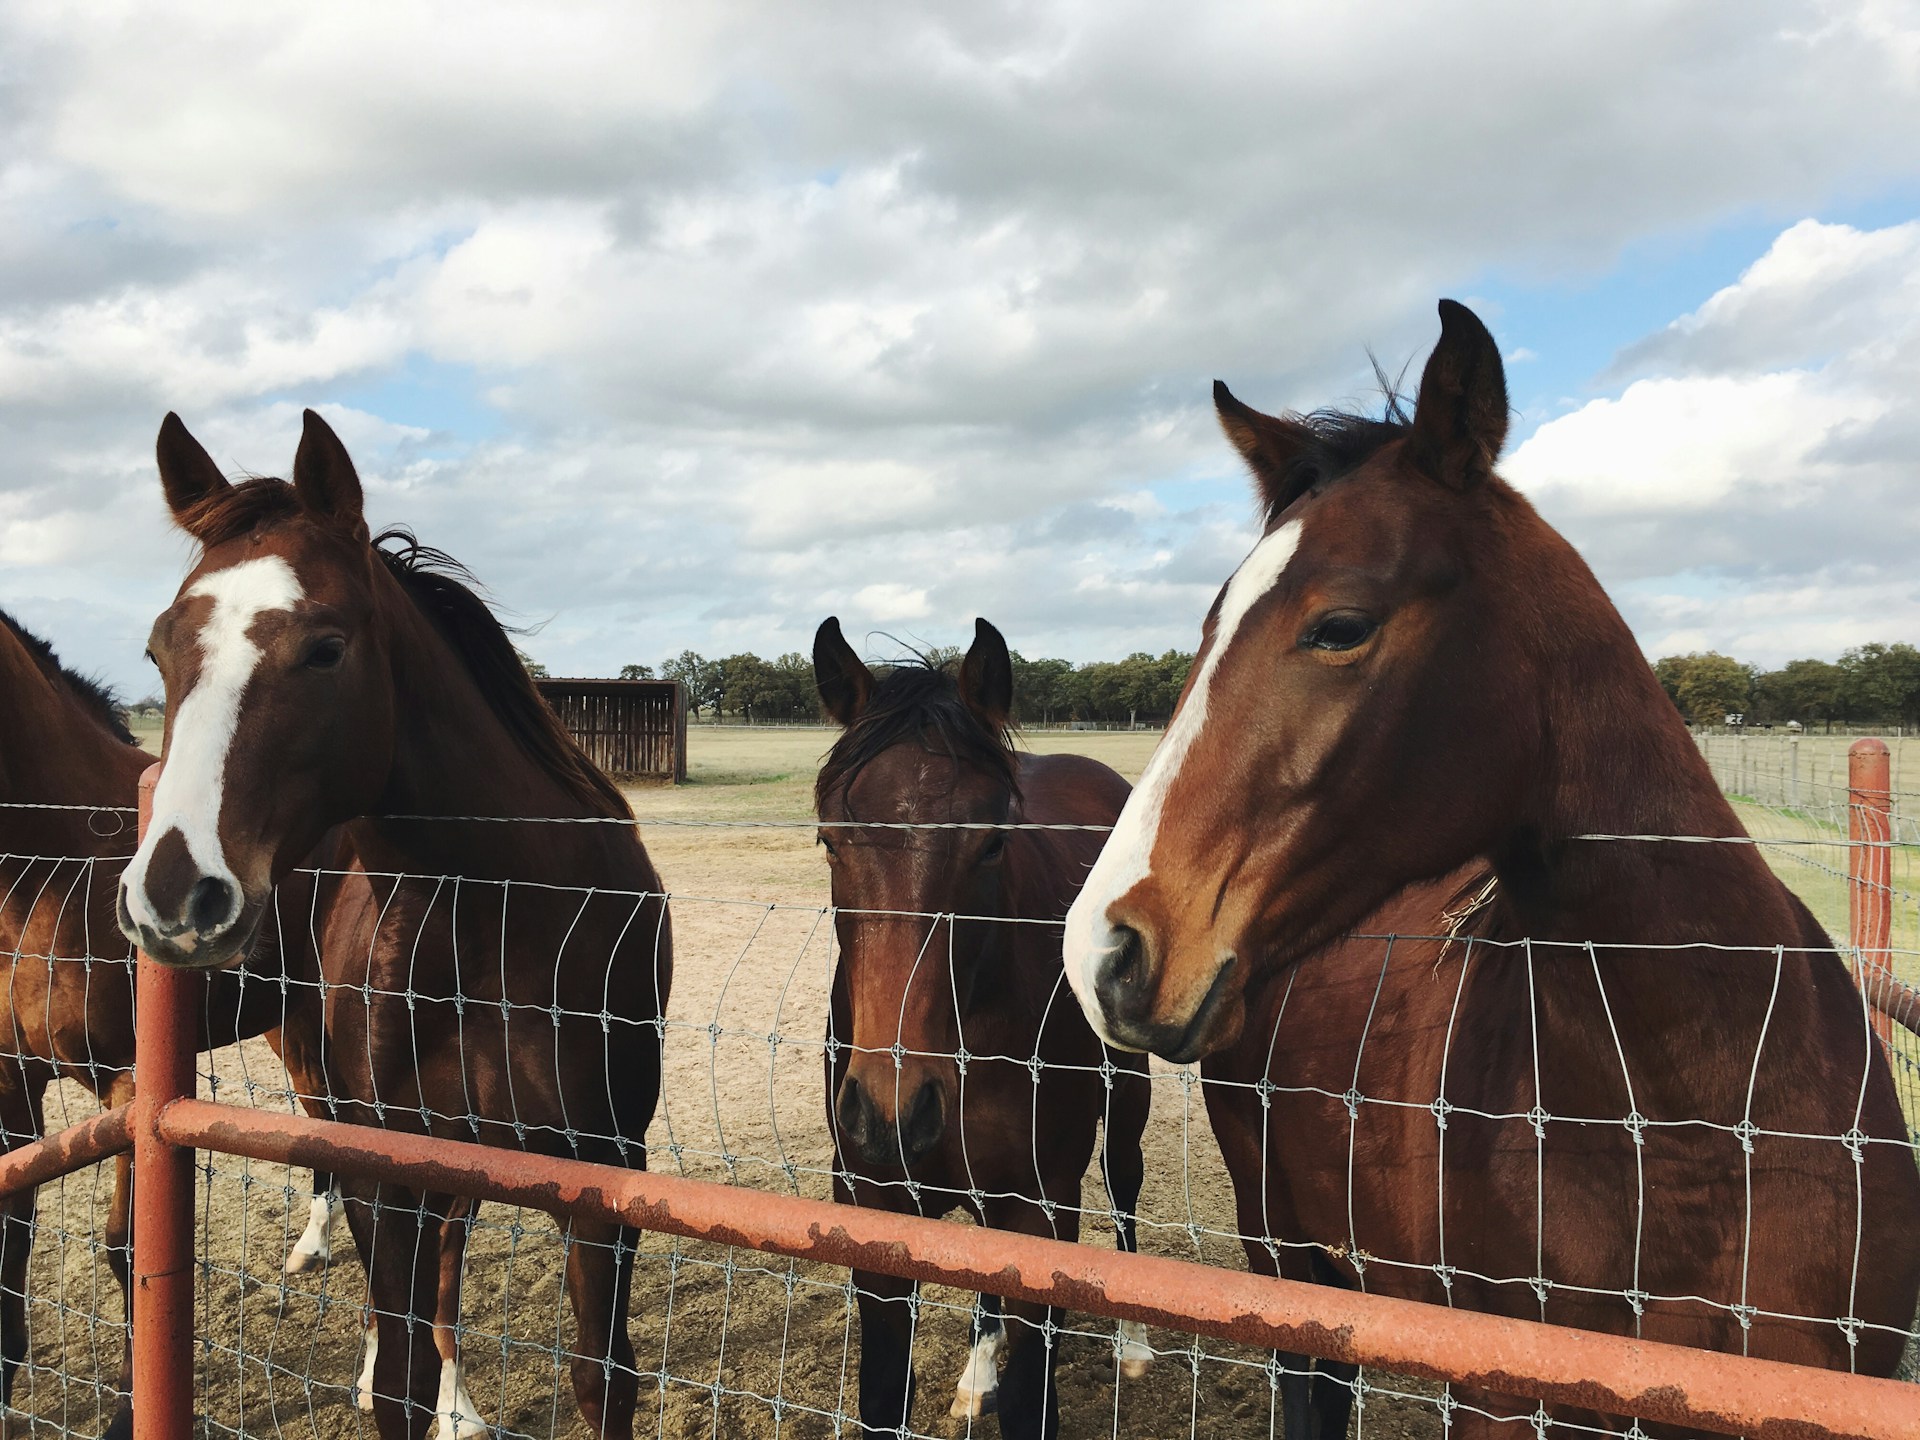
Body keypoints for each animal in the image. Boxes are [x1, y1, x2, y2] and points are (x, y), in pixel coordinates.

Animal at [118, 410, 673, 1440]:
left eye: (326, 648)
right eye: (158, 651)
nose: (176, 894)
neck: (503, 919)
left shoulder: (605, 1181)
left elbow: (601, 1378)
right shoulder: (392, 1171)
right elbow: (400, 1380)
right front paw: (402, 1377)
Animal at [812, 617, 1153, 1440]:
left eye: (993, 841)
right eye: (831, 840)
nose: (891, 1109)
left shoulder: (1041, 1213)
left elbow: (1034, 1403)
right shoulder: (876, 1209)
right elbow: (883, 1397)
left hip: (1127, 1095)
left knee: (1124, 1180)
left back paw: (1132, 1345)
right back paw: (976, 1373)